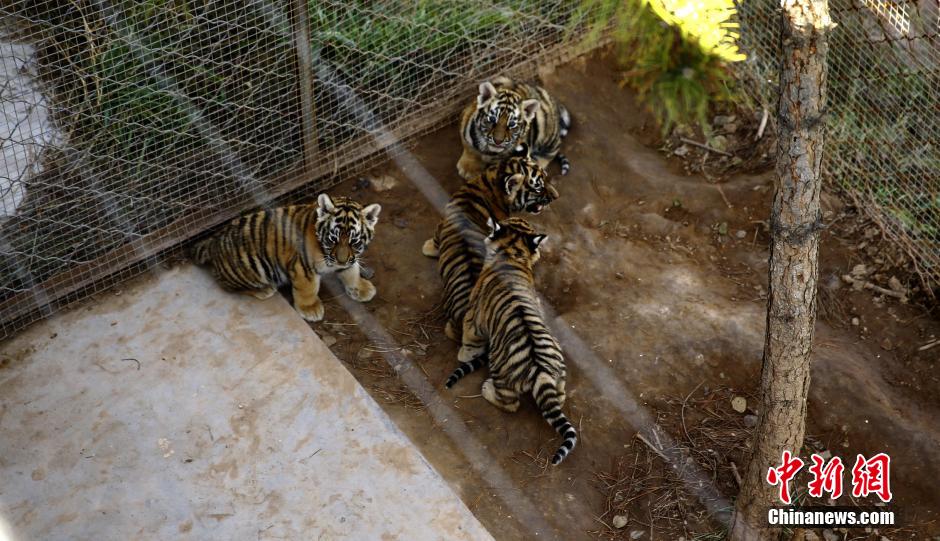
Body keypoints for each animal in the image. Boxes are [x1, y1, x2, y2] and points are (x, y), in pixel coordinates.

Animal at [192, 194, 381, 322]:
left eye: (354, 242)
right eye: (332, 239)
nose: (340, 260)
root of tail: (213, 242)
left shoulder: (349, 259)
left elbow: (352, 271)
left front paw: (362, 288)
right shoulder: (303, 267)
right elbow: (308, 289)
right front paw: (310, 309)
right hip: (251, 267)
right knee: (225, 285)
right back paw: (264, 290)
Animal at [445, 217, 577, 466]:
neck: (513, 254)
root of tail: (540, 370)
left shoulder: (474, 316)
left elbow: (469, 338)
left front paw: (464, 354)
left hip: (501, 371)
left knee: (510, 403)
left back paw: (487, 389)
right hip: (559, 369)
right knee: (560, 396)